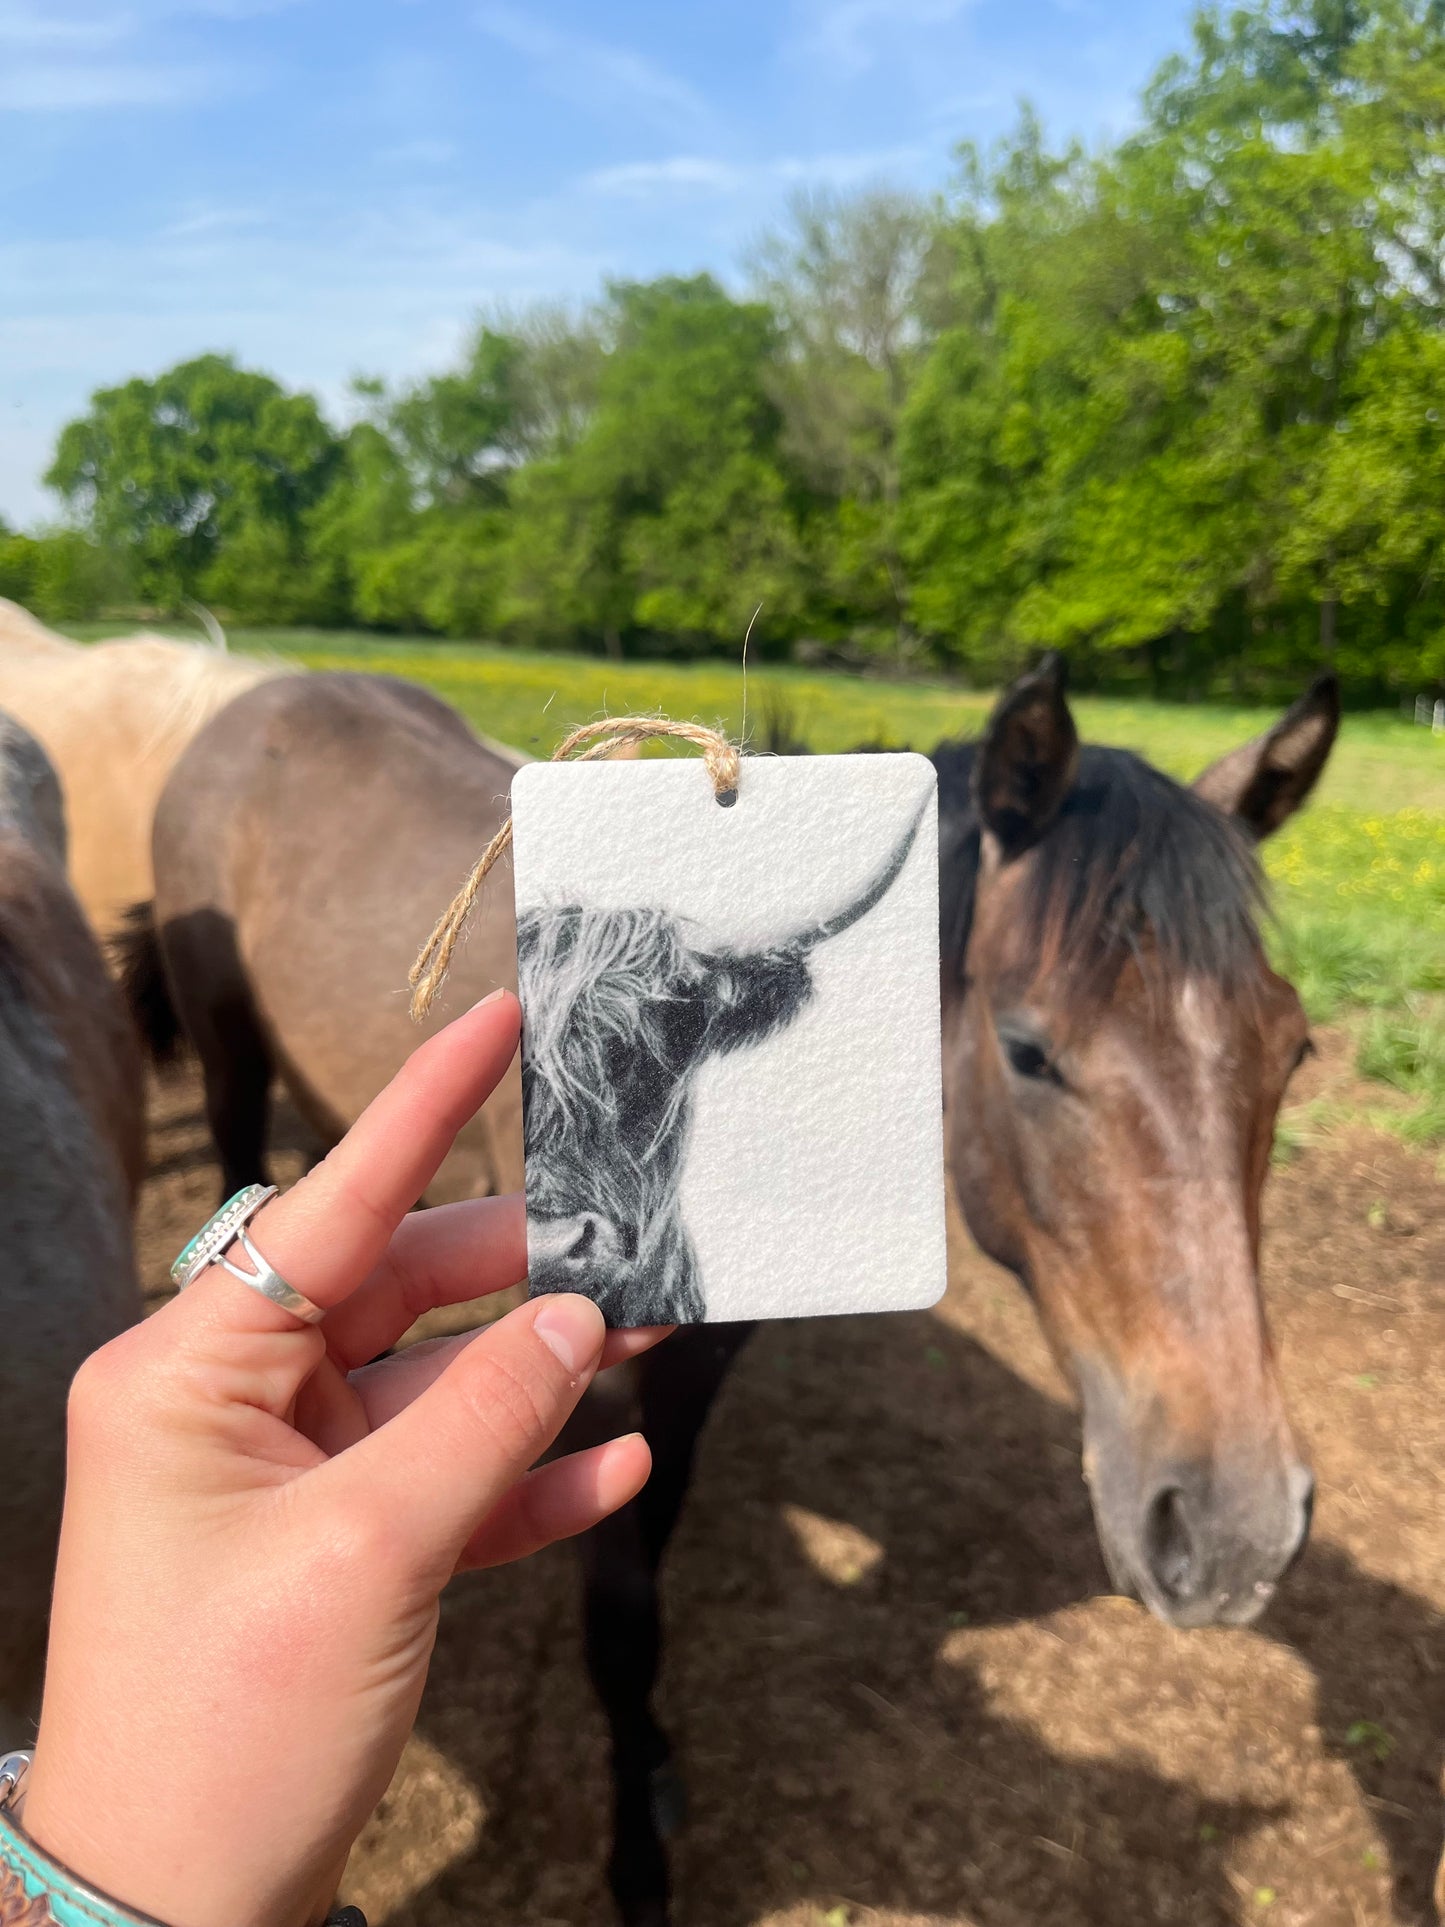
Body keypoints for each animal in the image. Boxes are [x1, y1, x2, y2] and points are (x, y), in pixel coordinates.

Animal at [130, 655, 1340, 1919]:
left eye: (1292, 1049)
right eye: (1025, 1049)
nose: (1236, 1534)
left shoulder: (694, 1367)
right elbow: (621, 1620)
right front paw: (637, 1862)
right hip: (229, 1055)